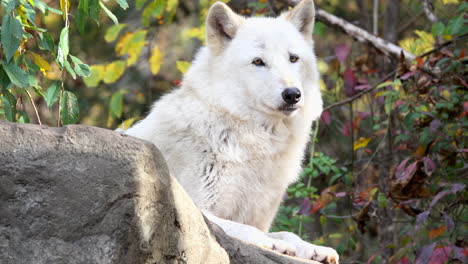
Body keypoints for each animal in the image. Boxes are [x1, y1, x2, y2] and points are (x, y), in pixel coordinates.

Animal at [126, 1, 338, 262]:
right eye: (258, 62)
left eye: (293, 58)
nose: (292, 94)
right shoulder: (196, 209)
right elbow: (246, 230)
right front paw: (275, 245)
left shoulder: (258, 218)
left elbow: (288, 233)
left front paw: (312, 248)